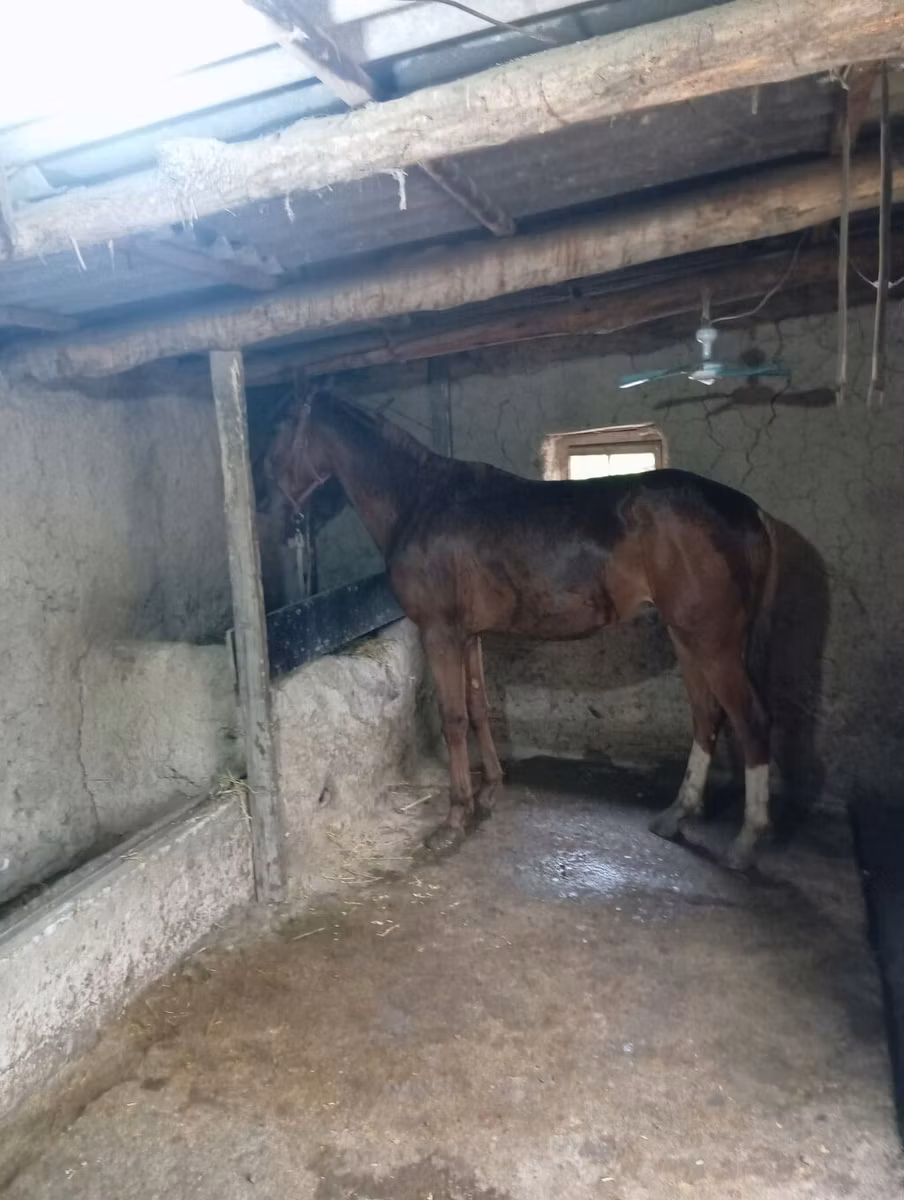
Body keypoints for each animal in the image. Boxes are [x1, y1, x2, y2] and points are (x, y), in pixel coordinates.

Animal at [267, 390, 780, 871]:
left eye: (283, 425)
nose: (276, 510)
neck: (419, 500)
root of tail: (749, 511)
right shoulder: (468, 635)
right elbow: (478, 707)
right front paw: (490, 789)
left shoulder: (440, 633)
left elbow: (453, 720)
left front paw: (454, 818)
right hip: (687, 637)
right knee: (707, 715)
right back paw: (677, 814)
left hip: (712, 642)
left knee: (750, 720)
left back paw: (746, 840)